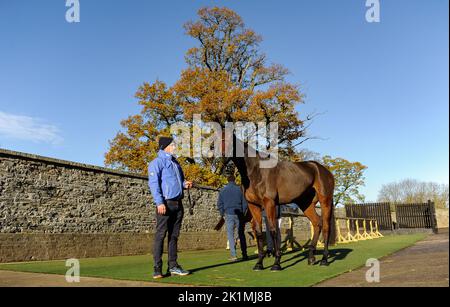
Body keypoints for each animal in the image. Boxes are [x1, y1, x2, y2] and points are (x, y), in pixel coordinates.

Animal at [223, 134, 336, 272]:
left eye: (229, 141)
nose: (227, 169)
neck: (257, 171)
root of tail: (323, 170)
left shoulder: (269, 203)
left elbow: (273, 231)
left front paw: (276, 263)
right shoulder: (253, 205)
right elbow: (259, 232)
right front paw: (259, 264)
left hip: (325, 201)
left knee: (326, 226)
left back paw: (324, 259)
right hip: (306, 204)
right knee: (317, 223)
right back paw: (311, 258)